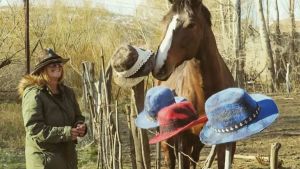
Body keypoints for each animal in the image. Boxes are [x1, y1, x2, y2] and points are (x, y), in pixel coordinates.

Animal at [154, 0, 236, 168]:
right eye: (164, 21)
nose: (159, 66)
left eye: (191, 24)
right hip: (167, 139)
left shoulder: (223, 142)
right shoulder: (183, 141)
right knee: (170, 160)